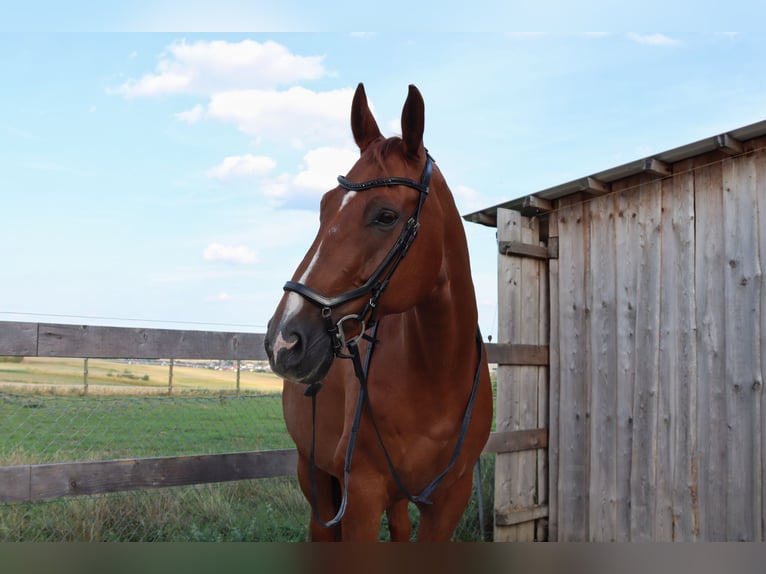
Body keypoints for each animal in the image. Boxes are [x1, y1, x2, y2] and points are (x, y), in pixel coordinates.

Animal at [264, 83, 492, 541]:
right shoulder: (361, 499)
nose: (284, 340)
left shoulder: (450, 501)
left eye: (385, 215)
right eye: (323, 206)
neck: (437, 374)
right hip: (314, 476)